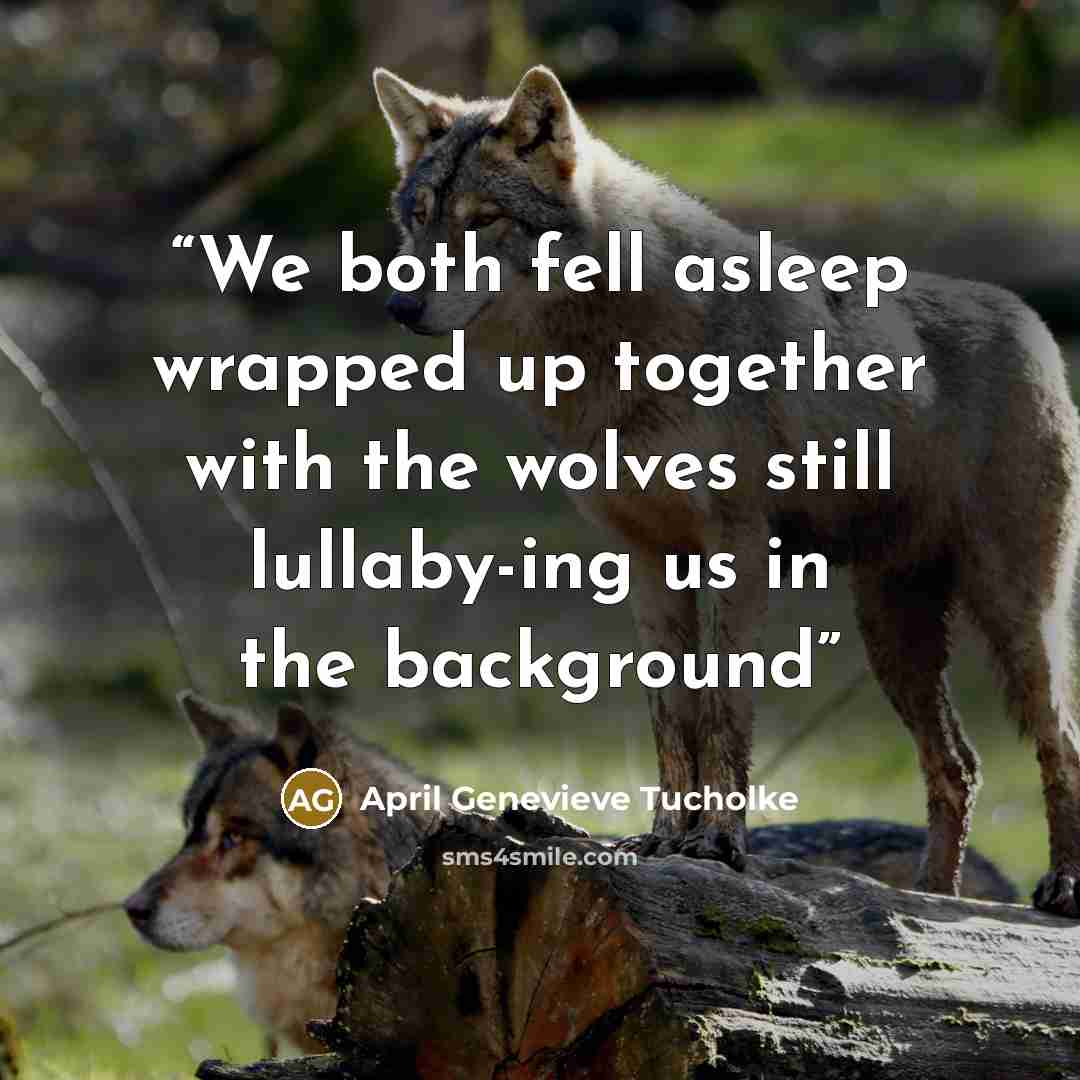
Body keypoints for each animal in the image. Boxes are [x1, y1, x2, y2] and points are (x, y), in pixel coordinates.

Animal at [374, 65, 1080, 916]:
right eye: (418, 219)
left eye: (483, 222)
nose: (400, 306)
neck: (614, 353)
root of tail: (1031, 317)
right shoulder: (647, 564)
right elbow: (672, 723)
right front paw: (660, 843)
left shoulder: (735, 552)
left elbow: (722, 715)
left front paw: (717, 845)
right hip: (892, 635)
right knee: (960, 764)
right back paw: (935, 901)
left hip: (1014, 616)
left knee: (1061, 743)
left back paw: (1061, 886)